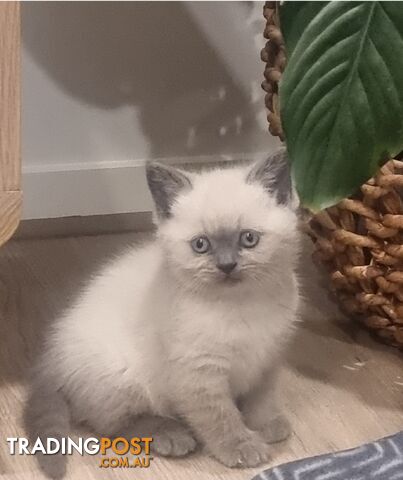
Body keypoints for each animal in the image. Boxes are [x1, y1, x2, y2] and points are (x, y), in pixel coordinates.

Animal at [25, 149, 300, 476]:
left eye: (248, 239)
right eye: (200, 245)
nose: (227, 266)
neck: (243, 304)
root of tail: (51, 357)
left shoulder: (269, 356)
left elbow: (262, 398)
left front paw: (266, 424)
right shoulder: (198, 374)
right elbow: (220, 418)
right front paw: (242, 447)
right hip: (123, 377)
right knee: (114, 424)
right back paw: (171, 435)